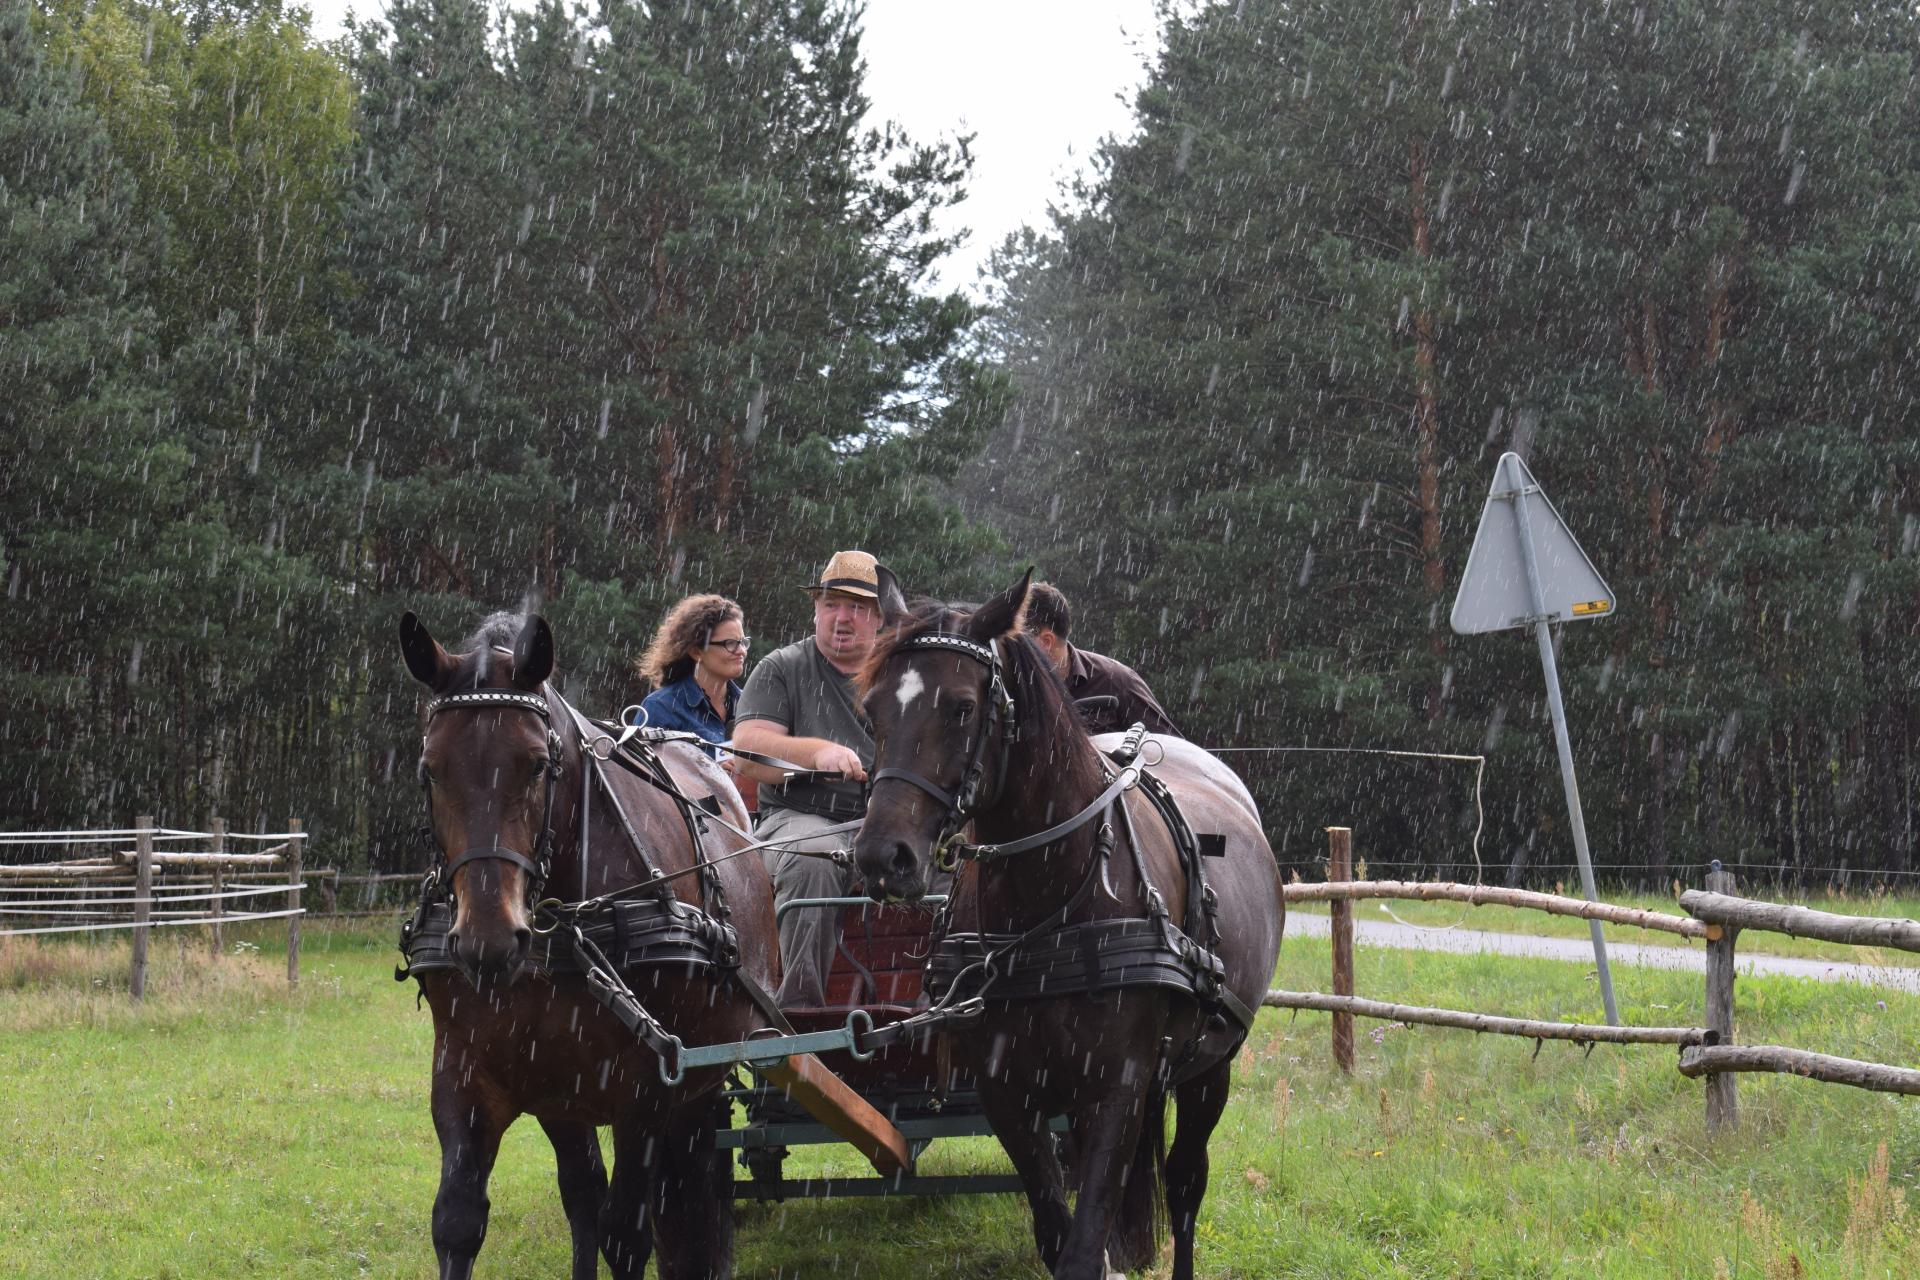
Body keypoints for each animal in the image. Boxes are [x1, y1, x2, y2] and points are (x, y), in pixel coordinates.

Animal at [397, 610, 779, 1280]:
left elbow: (625, 1235)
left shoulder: (648, 1091)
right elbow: (458, 1222)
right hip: (562, 1091)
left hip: (698, 1076)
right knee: (583, 1194)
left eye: (536, 764)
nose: (488, 941)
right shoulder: (468, 1075)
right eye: (430, 769)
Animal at [852, 579, 1274, 1280]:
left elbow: (1084, 1245)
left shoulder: (1118, 1088)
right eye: (871, 711)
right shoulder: (1005, 1089)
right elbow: (1059, 1234)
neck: (1046, 907)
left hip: (1211, 1064)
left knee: (1186, 1182)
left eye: (963, 708)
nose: (883, 856)